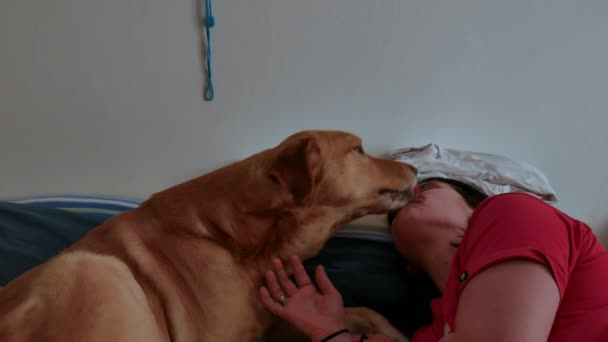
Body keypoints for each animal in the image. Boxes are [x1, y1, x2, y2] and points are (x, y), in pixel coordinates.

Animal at [0, 131, 418, 342]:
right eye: (358, 149)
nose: (415, 168)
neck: (232, 239)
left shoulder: (271, 322)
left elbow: (360, 311)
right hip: (95, 270)